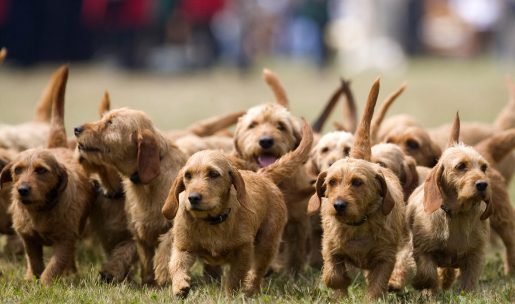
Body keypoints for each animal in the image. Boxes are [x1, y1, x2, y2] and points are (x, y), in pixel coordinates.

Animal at [163, 119, 312, 296]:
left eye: (213, 174)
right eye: (188, 175)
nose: (192, 198)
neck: (212, 221)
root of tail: (263, 175)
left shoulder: (243, 251)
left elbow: (236, 276)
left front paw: (230, 295)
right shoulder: (184, 247)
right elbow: (176, 265)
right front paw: (180, 286)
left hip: (267, 244)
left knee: (258, 271)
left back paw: (251, 290)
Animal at [306, 79, 408, 300]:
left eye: (357, 182)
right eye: (332, 182)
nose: (338, 205)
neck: (358, 225)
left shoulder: (385, 257)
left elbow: (377, 285)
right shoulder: (330, 249)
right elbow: (332, 275)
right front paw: (341, 287)